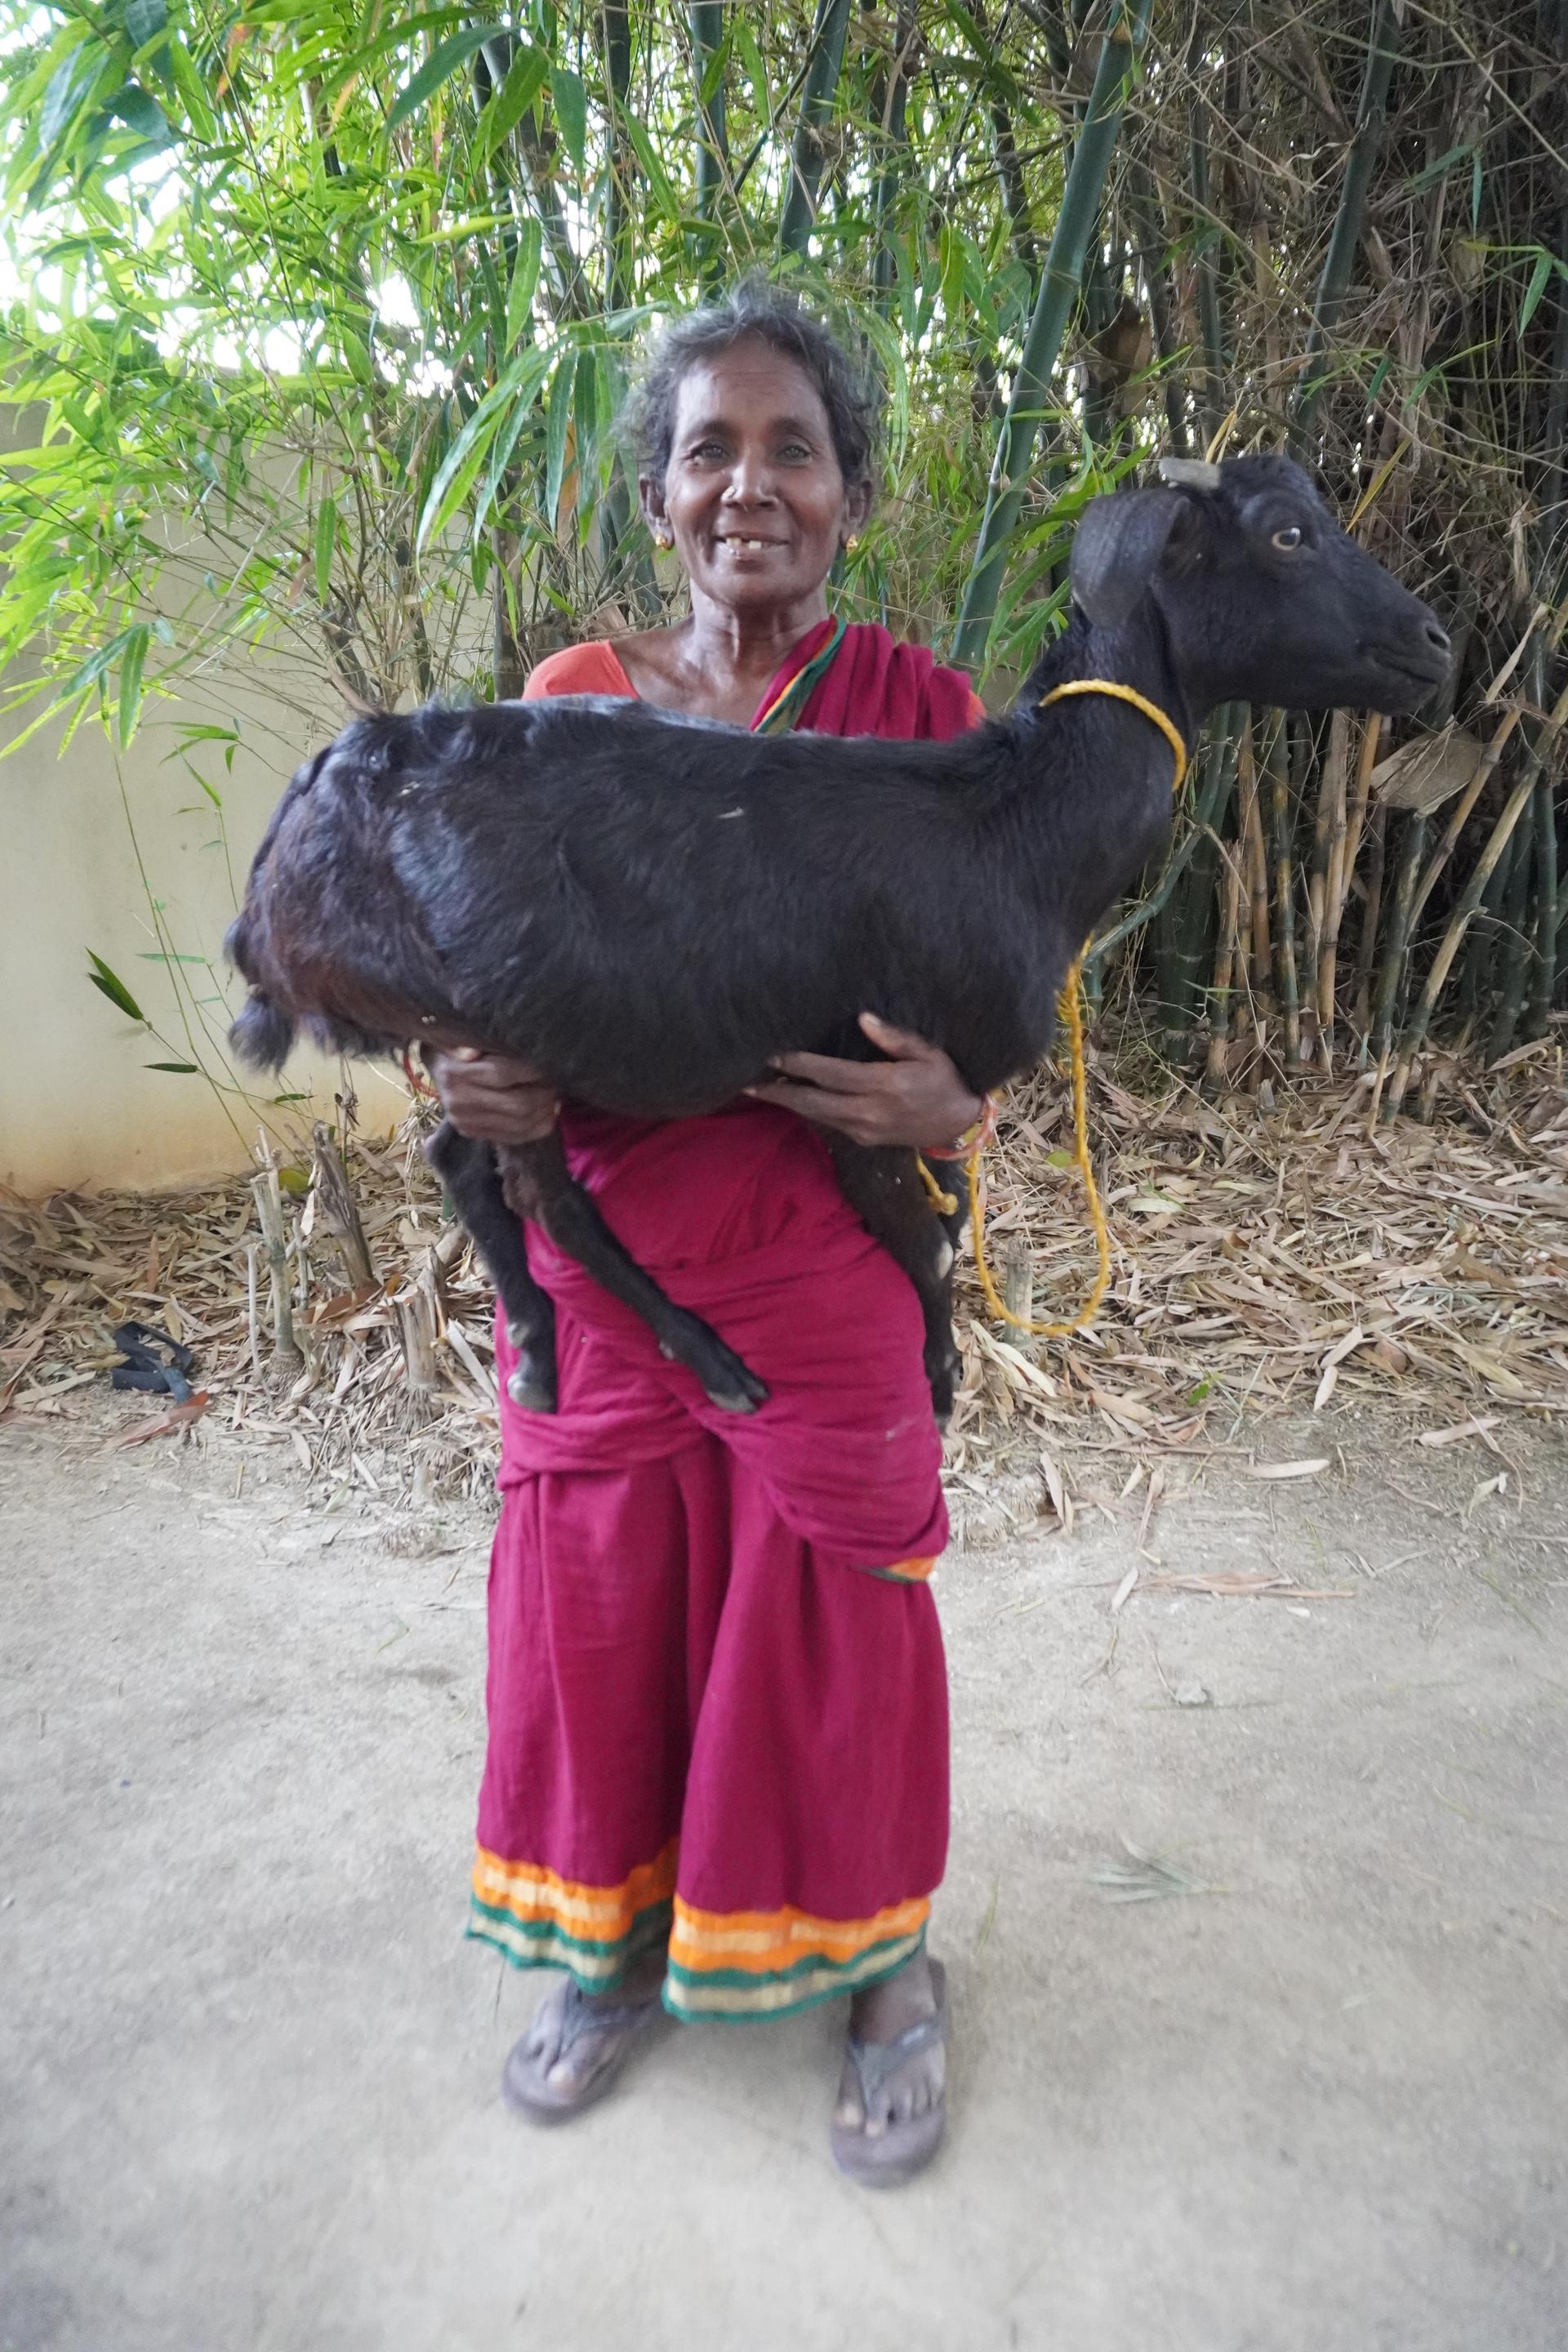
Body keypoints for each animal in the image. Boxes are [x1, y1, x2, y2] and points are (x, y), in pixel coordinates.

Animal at [227, 454, 1449, 1422]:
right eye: (1287, 533)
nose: (1435, 638)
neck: (1015, 829)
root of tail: (274, 886)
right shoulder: (854, 1073)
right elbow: (923, 1241)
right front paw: (941, 1380)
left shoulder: (924, 1091)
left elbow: (944, 1220)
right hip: (484, 1023)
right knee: (543, 1196)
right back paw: (707, 1359)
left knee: (464, 1164)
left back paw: (532, 1349)